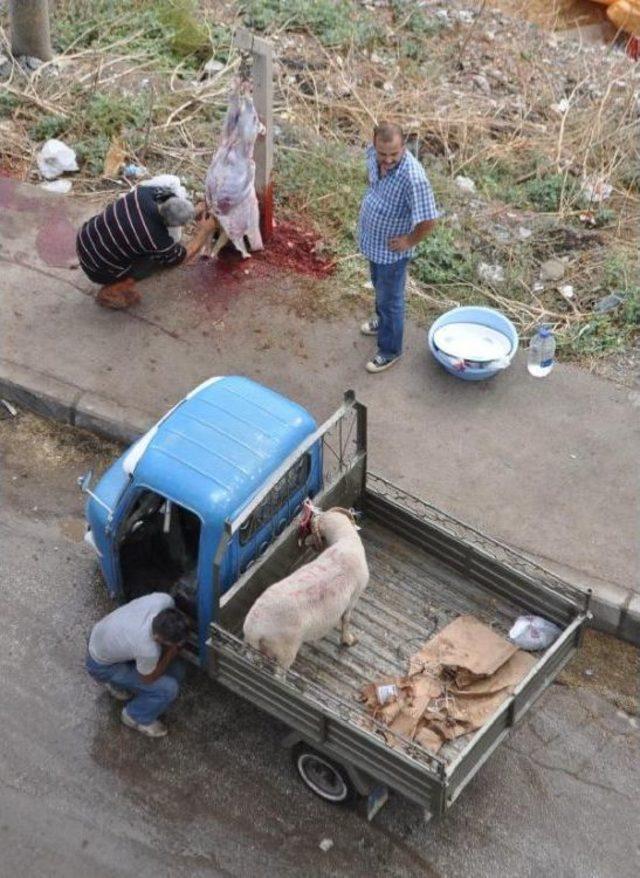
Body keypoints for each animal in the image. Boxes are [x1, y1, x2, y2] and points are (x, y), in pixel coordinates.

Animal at [242, 506, 368, 672]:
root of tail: (253, 630)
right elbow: (346, 620)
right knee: (279, 671)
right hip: (285, 652)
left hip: (257, 650)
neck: (345, 540)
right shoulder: (354, 597)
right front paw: (348, 640)